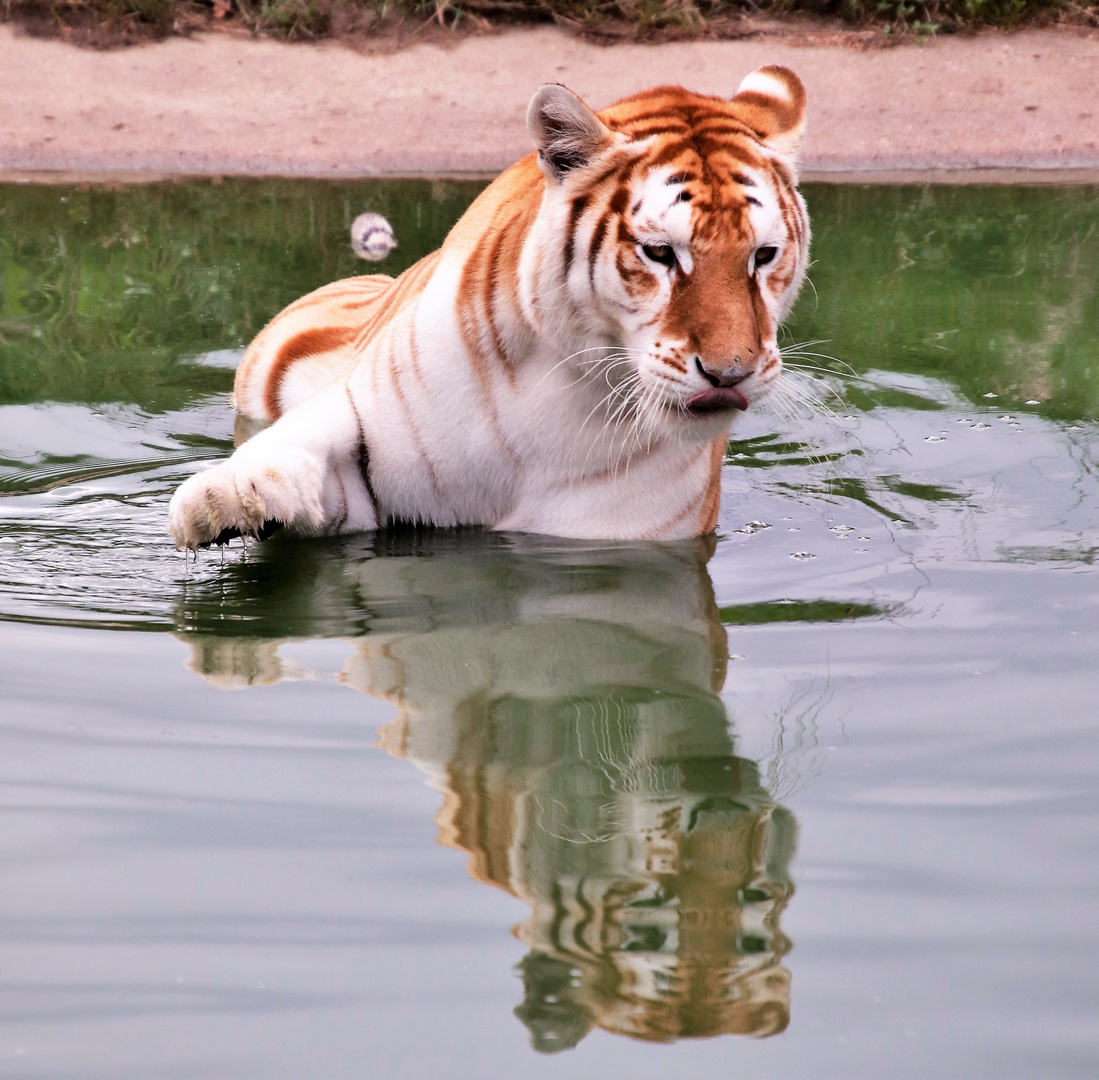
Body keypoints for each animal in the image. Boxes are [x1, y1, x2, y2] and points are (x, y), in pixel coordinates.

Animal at [167, 69, 813, 549]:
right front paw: (226, 500)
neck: (568, 390)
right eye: (659, 253)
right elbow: (304, 439)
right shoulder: (368, 424)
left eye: (762, 255)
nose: (730, 373)